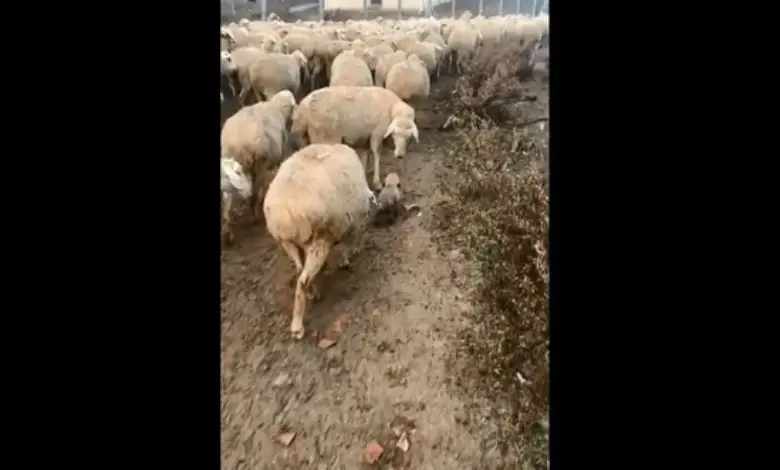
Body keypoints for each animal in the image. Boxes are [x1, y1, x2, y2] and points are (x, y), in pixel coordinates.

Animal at [262, 142, 378, 338]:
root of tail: (285, 214)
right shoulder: (352, 223)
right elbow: (349, 243)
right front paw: (349, 257)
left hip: (289, 244)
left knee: (301, 271)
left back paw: (313, 293)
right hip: (319, 240)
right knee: (302, 280)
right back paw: (297, 326)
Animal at [290, 85, 420, 190]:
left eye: (409, 137)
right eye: (395, 133)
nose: (400, 156)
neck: (391, 108)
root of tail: (303, 111)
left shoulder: (366, 137)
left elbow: (365, 156)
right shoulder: (377, 133)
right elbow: (377, 155)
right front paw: (377, 182)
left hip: (304, 138)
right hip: (324, 136)